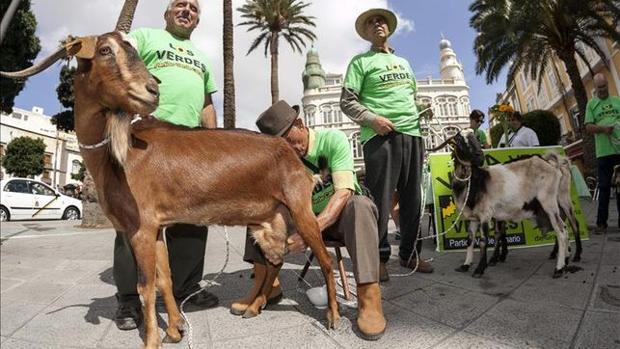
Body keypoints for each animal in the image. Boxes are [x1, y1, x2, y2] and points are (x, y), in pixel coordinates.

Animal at [0, 32, 342, 348]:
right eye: (106, 50)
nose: (152, 90)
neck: (119, 157)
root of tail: (296, 158)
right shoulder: (155, 228)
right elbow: (164, 278)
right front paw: (175, 329)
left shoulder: (140, 227)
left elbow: (145, 286)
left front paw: (152, 340)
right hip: (267, 222)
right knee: (274, 262)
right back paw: (251, 307)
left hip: (300, 210)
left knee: (324, 259)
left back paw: (333, 317)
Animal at [444, 129, 584, 278]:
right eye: (459, 141)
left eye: (476, 138)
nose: (479, 157)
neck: (476, 182)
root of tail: (552, 164)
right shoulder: (474, 217)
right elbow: (470, 240)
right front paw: (466, 264)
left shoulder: (485, 214)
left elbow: (483, 241)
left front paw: (480, 269)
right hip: (559, 200)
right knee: (566, 226)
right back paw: (565, 259)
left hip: (550, 201)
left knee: (563, 229)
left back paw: (560, 267)